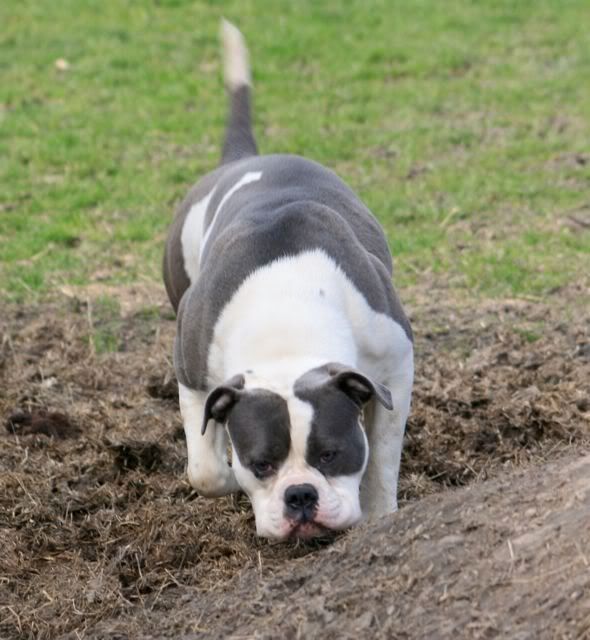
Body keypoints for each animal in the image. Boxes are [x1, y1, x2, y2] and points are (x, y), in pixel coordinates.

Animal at [162, 21, 414, 540]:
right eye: (262, 463)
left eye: (331, 454)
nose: (300, 495)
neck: (286, 315)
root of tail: (240, 160)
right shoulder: (192, 373)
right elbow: (206, 471)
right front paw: (227, 473)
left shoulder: (396, 366)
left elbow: (381, 458)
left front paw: (379, 516)